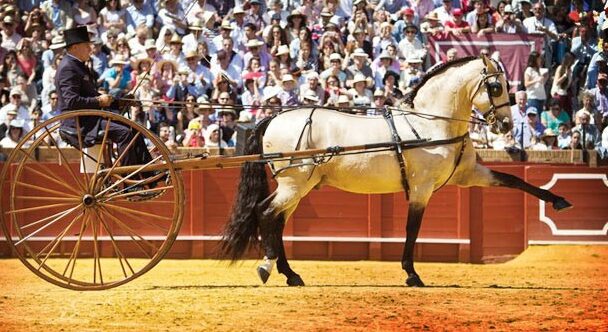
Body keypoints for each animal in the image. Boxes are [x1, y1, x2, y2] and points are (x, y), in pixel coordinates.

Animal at [221, 55, 572, 286]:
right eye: (497, 86)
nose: (506, 125)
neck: (431, 125)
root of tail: (273, 117)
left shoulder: (470, 174)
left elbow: (514, 179)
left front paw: (558, 201)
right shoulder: (421, 189)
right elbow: (412, 229)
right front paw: (412, 274)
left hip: (297, 188)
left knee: (276, 222)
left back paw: (291, 274)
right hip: (294, 185)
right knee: (265, 213)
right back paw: (268, 268)